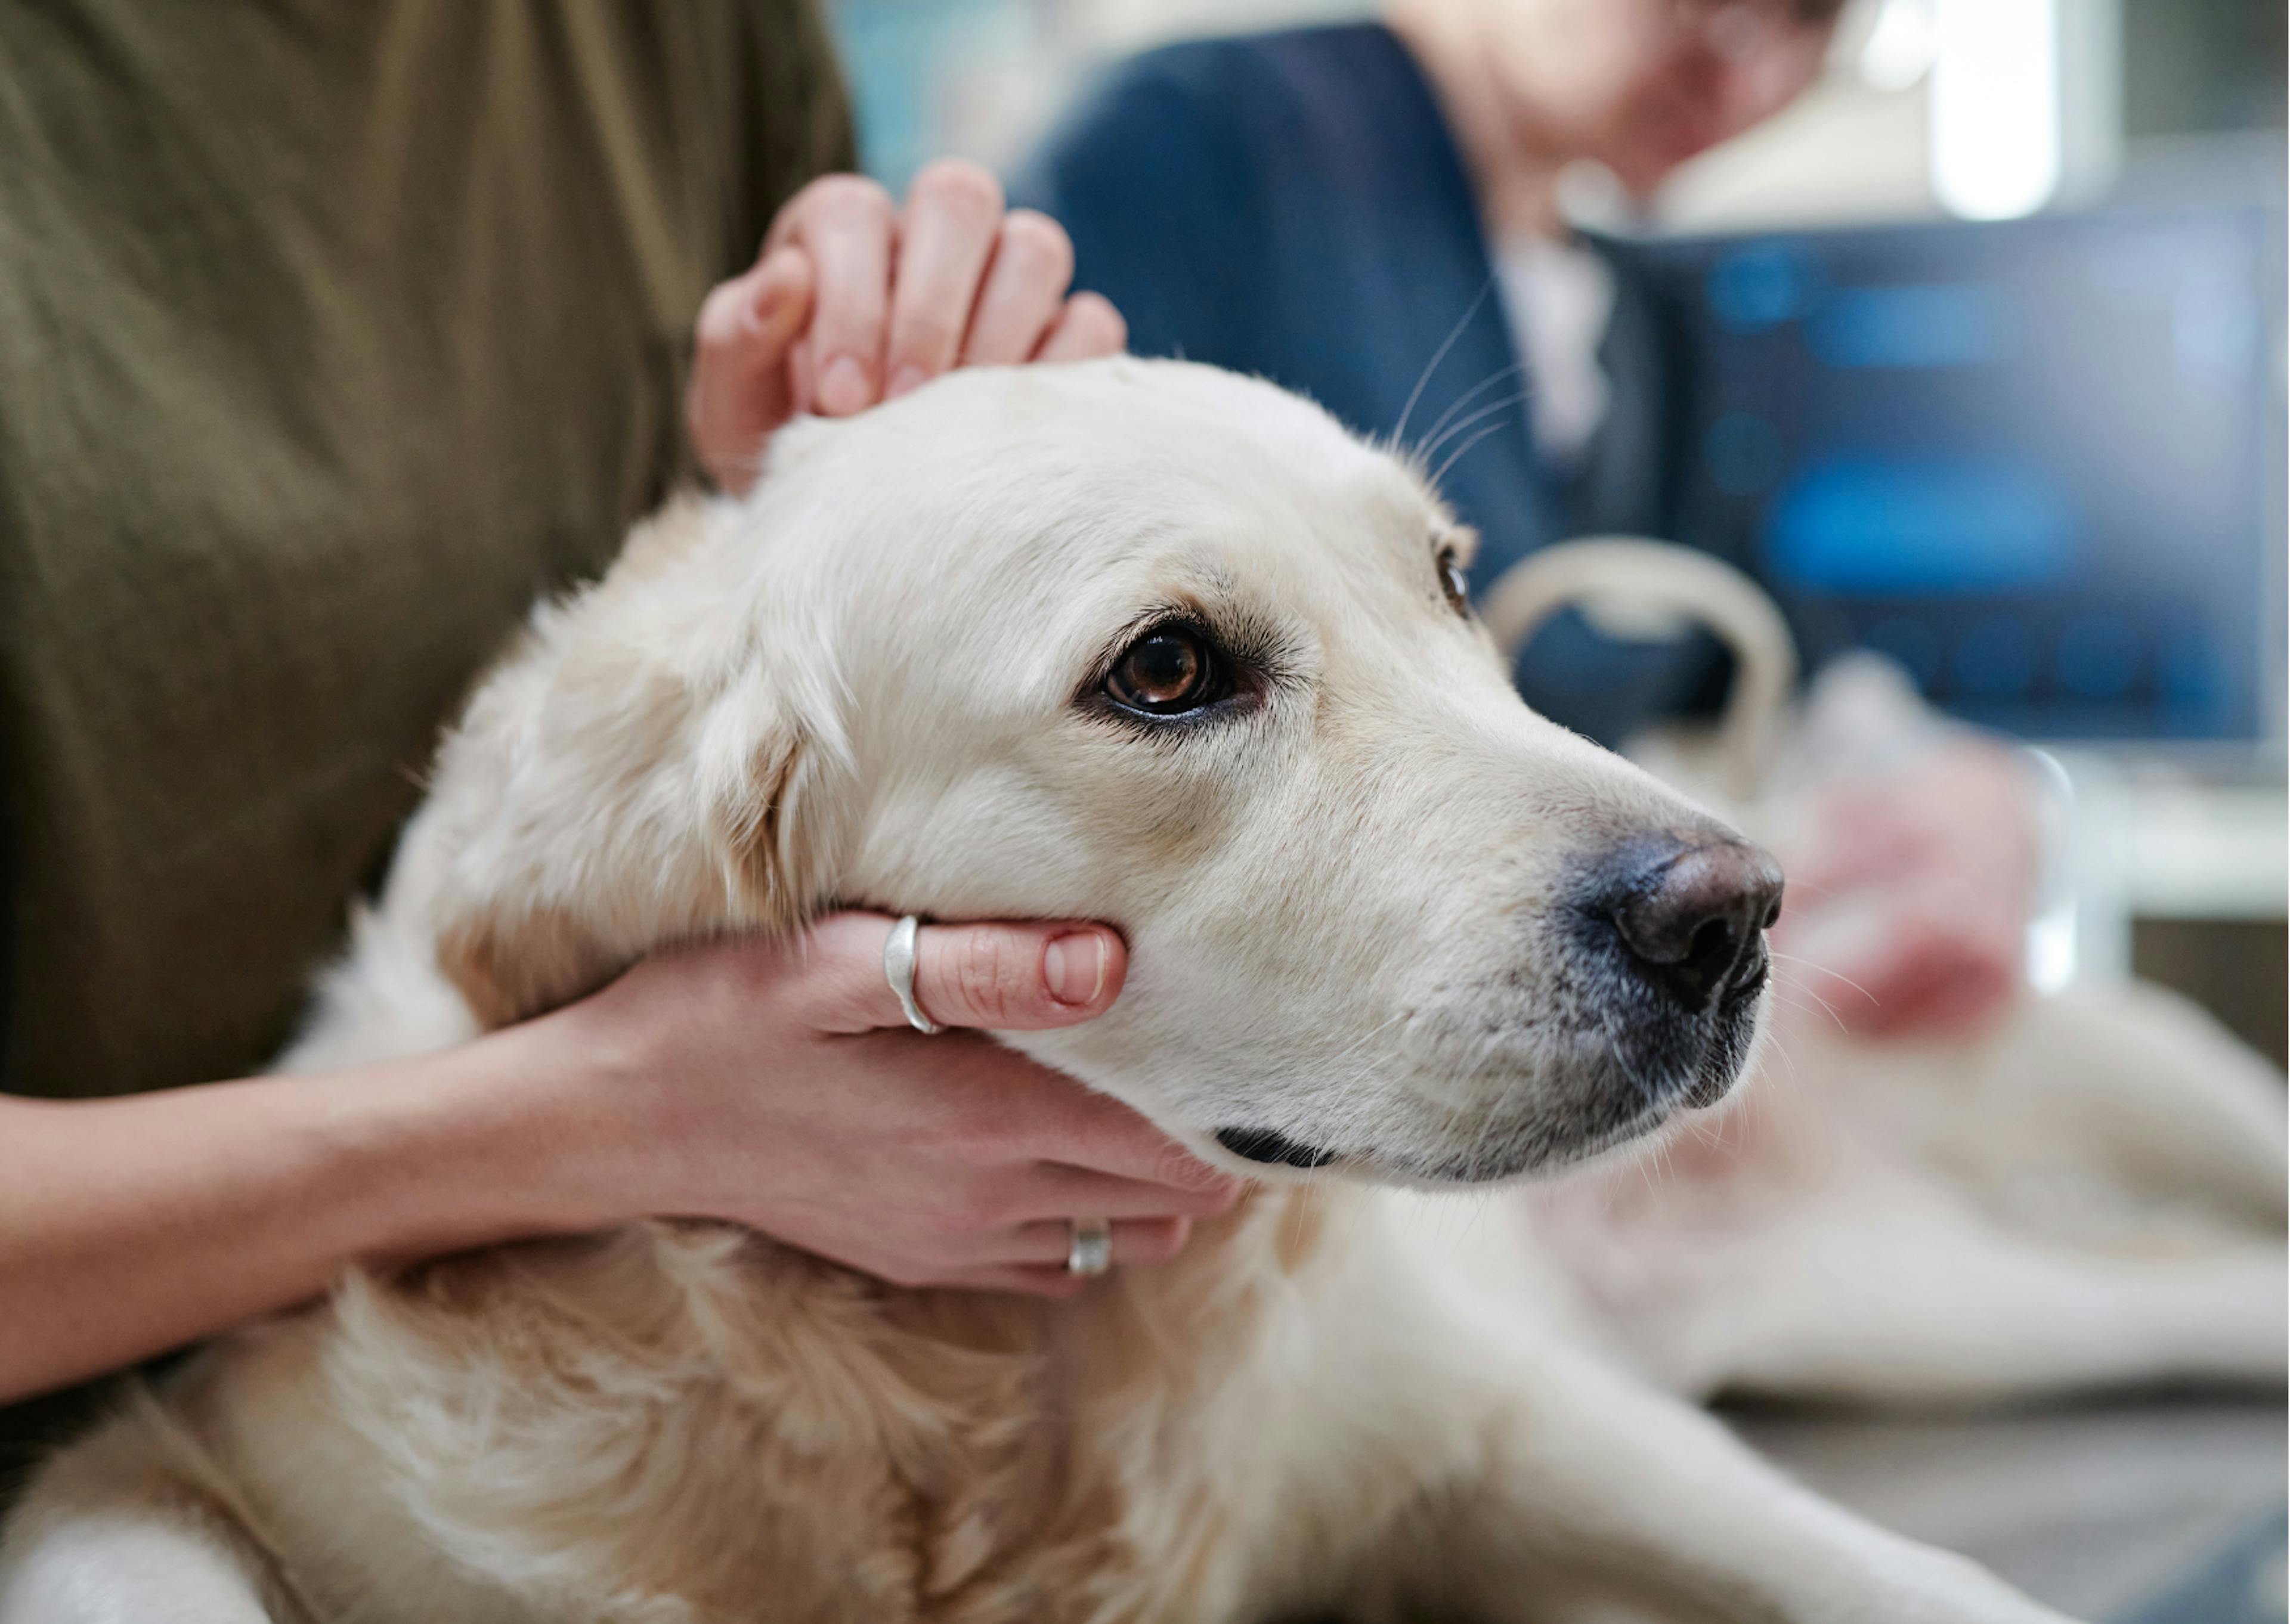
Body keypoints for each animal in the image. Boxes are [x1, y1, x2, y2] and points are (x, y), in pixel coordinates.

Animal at [0, 362, 2143, 1612]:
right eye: (1169, 670)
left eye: (1450, 582)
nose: (1737, 913)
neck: (985, 1375)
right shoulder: (165, 1460)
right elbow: (144, 1560)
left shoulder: (1508, 1415)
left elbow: (1933, 1587)